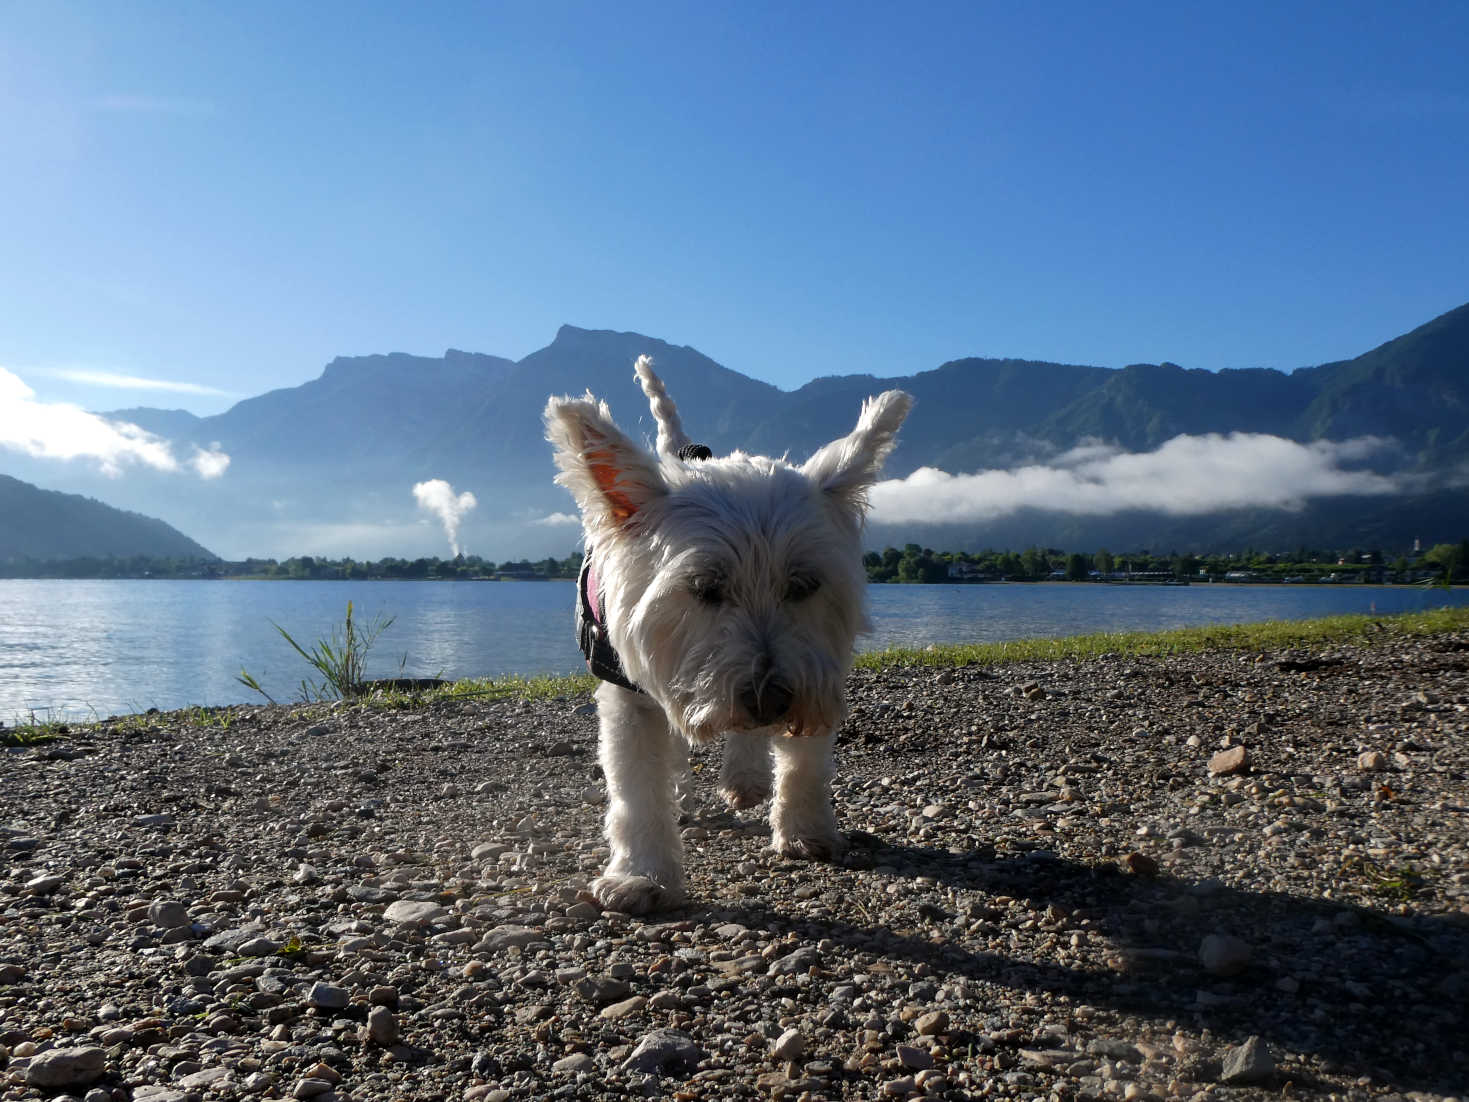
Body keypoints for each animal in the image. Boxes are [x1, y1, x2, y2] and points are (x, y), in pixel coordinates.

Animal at [546, 359, 904, 916]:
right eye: (704, 588)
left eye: (804, 585)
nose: (770, 700)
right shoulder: (628, 693)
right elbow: (637, 786)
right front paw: (641, 877)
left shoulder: (818, 664)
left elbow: (805, 760)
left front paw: (806, 831)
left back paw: (746, 777)